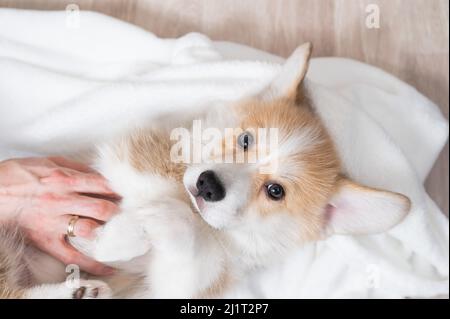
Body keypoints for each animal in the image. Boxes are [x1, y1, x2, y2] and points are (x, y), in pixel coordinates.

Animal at [67, 43, 412, 300]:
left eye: (275, 191)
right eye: (246, 140)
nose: (208, 185)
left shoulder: (180, 283)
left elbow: (187, 247)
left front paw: (139, 226)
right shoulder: (128, 149)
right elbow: (156, 181)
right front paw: (112, 237)